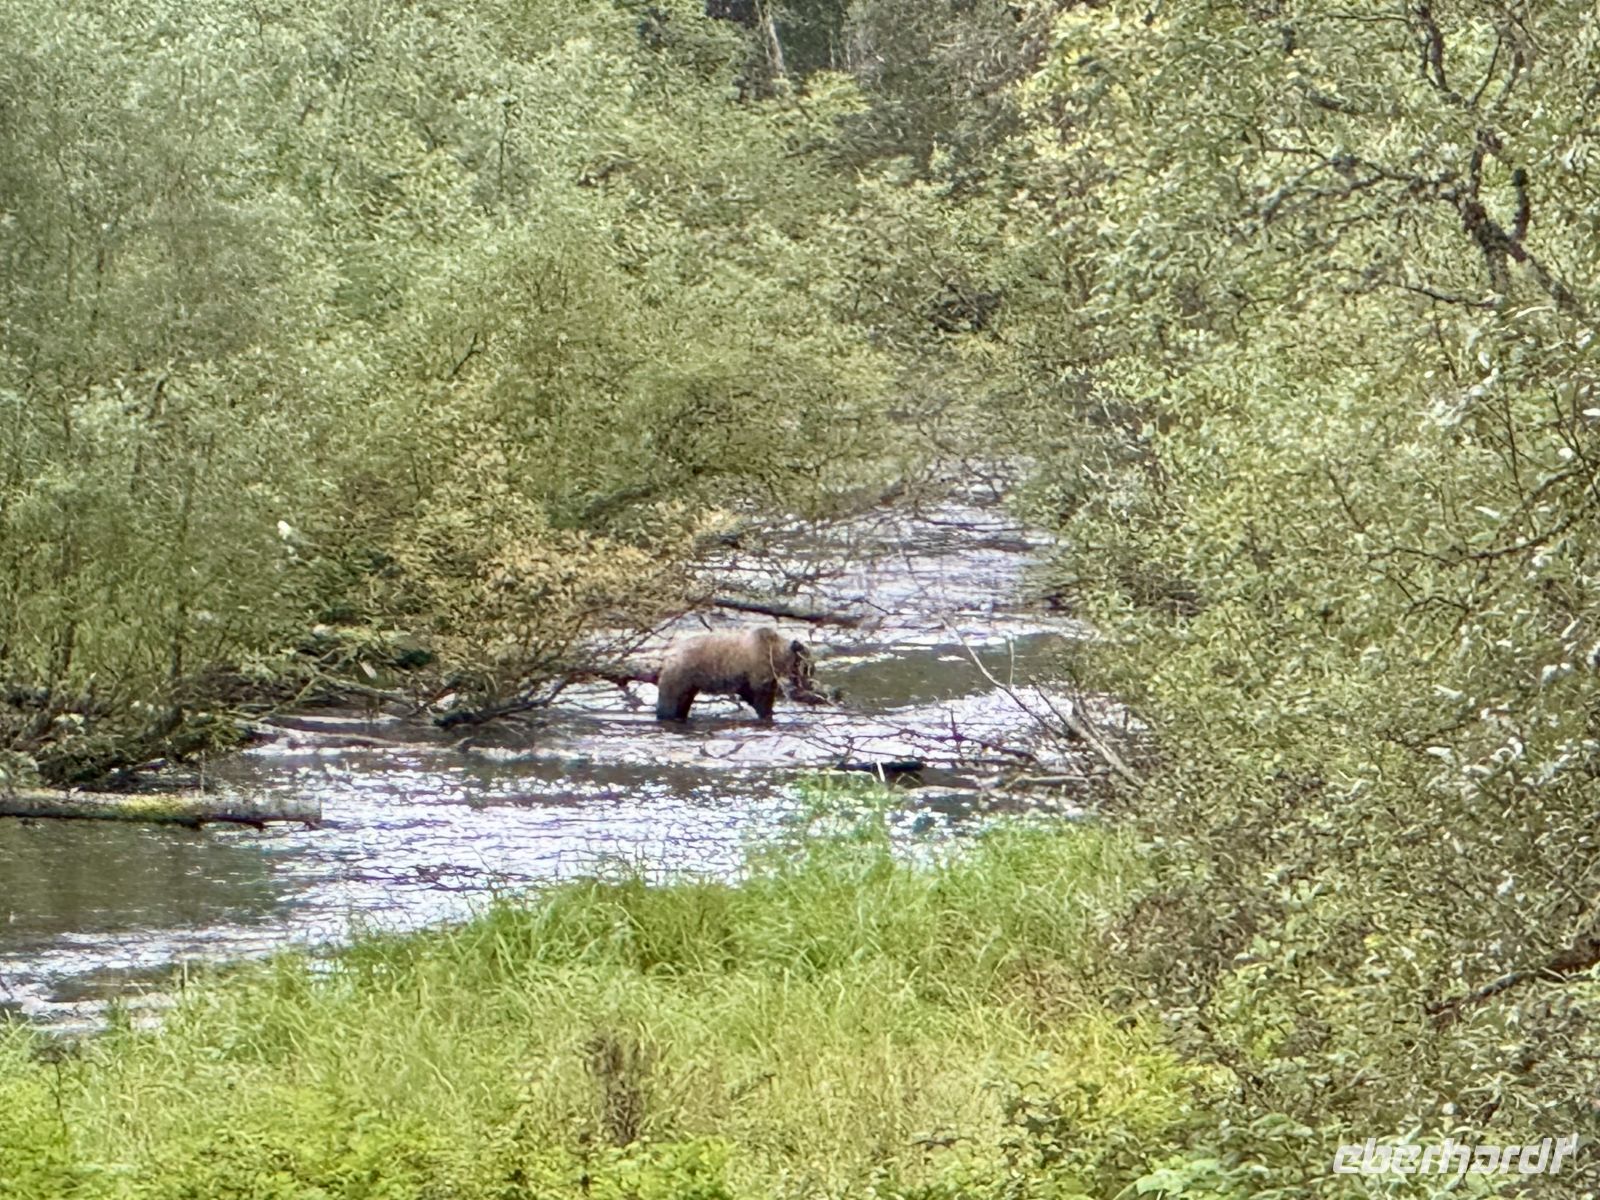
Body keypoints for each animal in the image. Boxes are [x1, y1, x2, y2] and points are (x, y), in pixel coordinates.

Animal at [654, 626, 811, 722]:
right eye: (806, 667)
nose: (808, 684)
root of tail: (666, 656)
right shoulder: (758, 670)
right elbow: (761, 697)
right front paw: (766, 714)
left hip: (690, 683)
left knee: (683, 702)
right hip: (681, 674)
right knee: (670, 702)